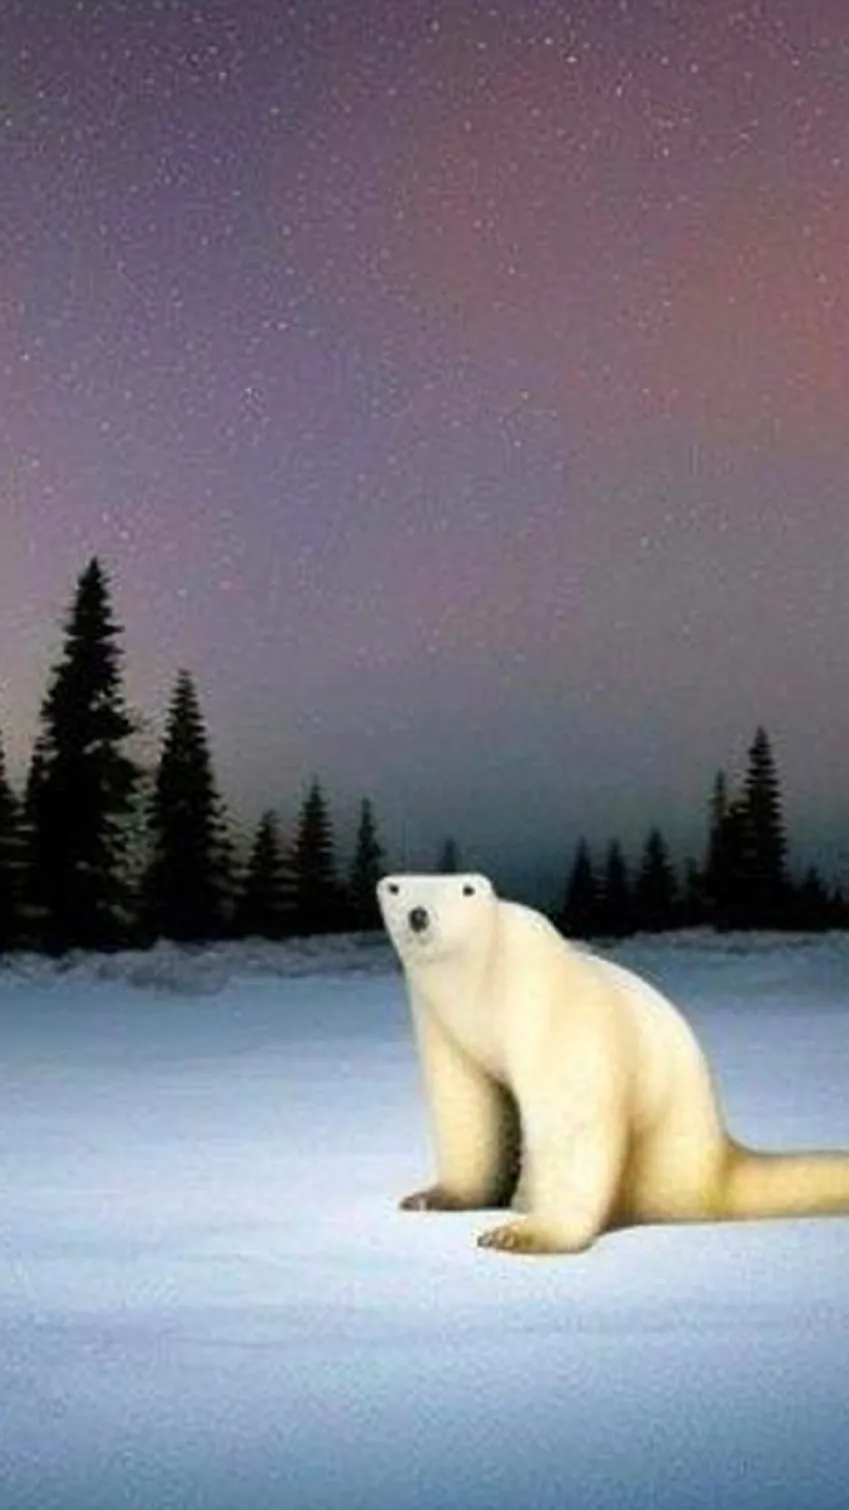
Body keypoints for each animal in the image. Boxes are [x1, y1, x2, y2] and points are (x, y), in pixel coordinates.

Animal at [377, 871, 849, 1256]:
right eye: (395, 887)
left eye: (466, 889)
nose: (419, 915)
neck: (482, 986)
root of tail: (716, 1158)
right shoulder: (445, 1027)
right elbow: (468, 1105)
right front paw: (432, 1197)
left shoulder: (550, 1007)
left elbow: (572, 1116)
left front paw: (522, 1233)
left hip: (660, 1153)